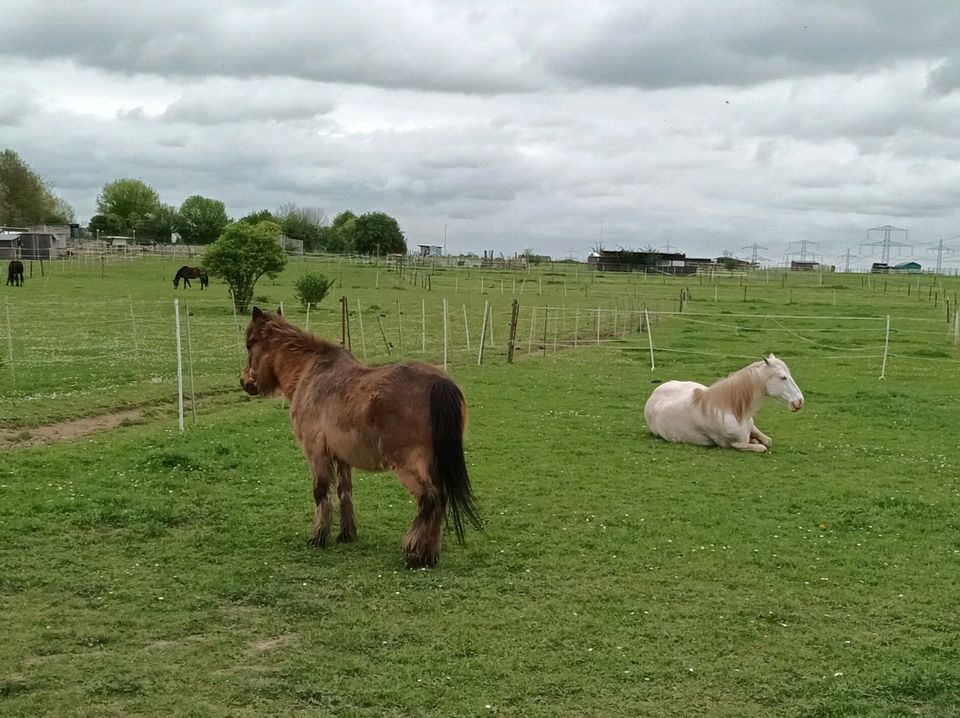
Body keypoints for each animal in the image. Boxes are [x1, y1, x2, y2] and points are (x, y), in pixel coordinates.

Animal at [240, 306, 480, 572]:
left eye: (249, 344)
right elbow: (345, 492)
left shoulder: (316, 454)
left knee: (430, 499)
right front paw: (346, 534)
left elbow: (320, 492)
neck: (310, 372)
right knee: (441, 500)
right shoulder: (342, 457)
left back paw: (415, 554)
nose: (245, 381)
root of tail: (440, 383)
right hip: (434, 464)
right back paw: (430, 554)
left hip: (409, 467)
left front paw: (319, 538)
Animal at [644, 356, 804, 452]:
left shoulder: (752, 428)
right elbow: (761, 447)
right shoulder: (730, 444)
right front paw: (754, 442)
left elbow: (768, 441)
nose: (800, 401)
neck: (731, 410)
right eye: (783, 377)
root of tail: (655, 393)